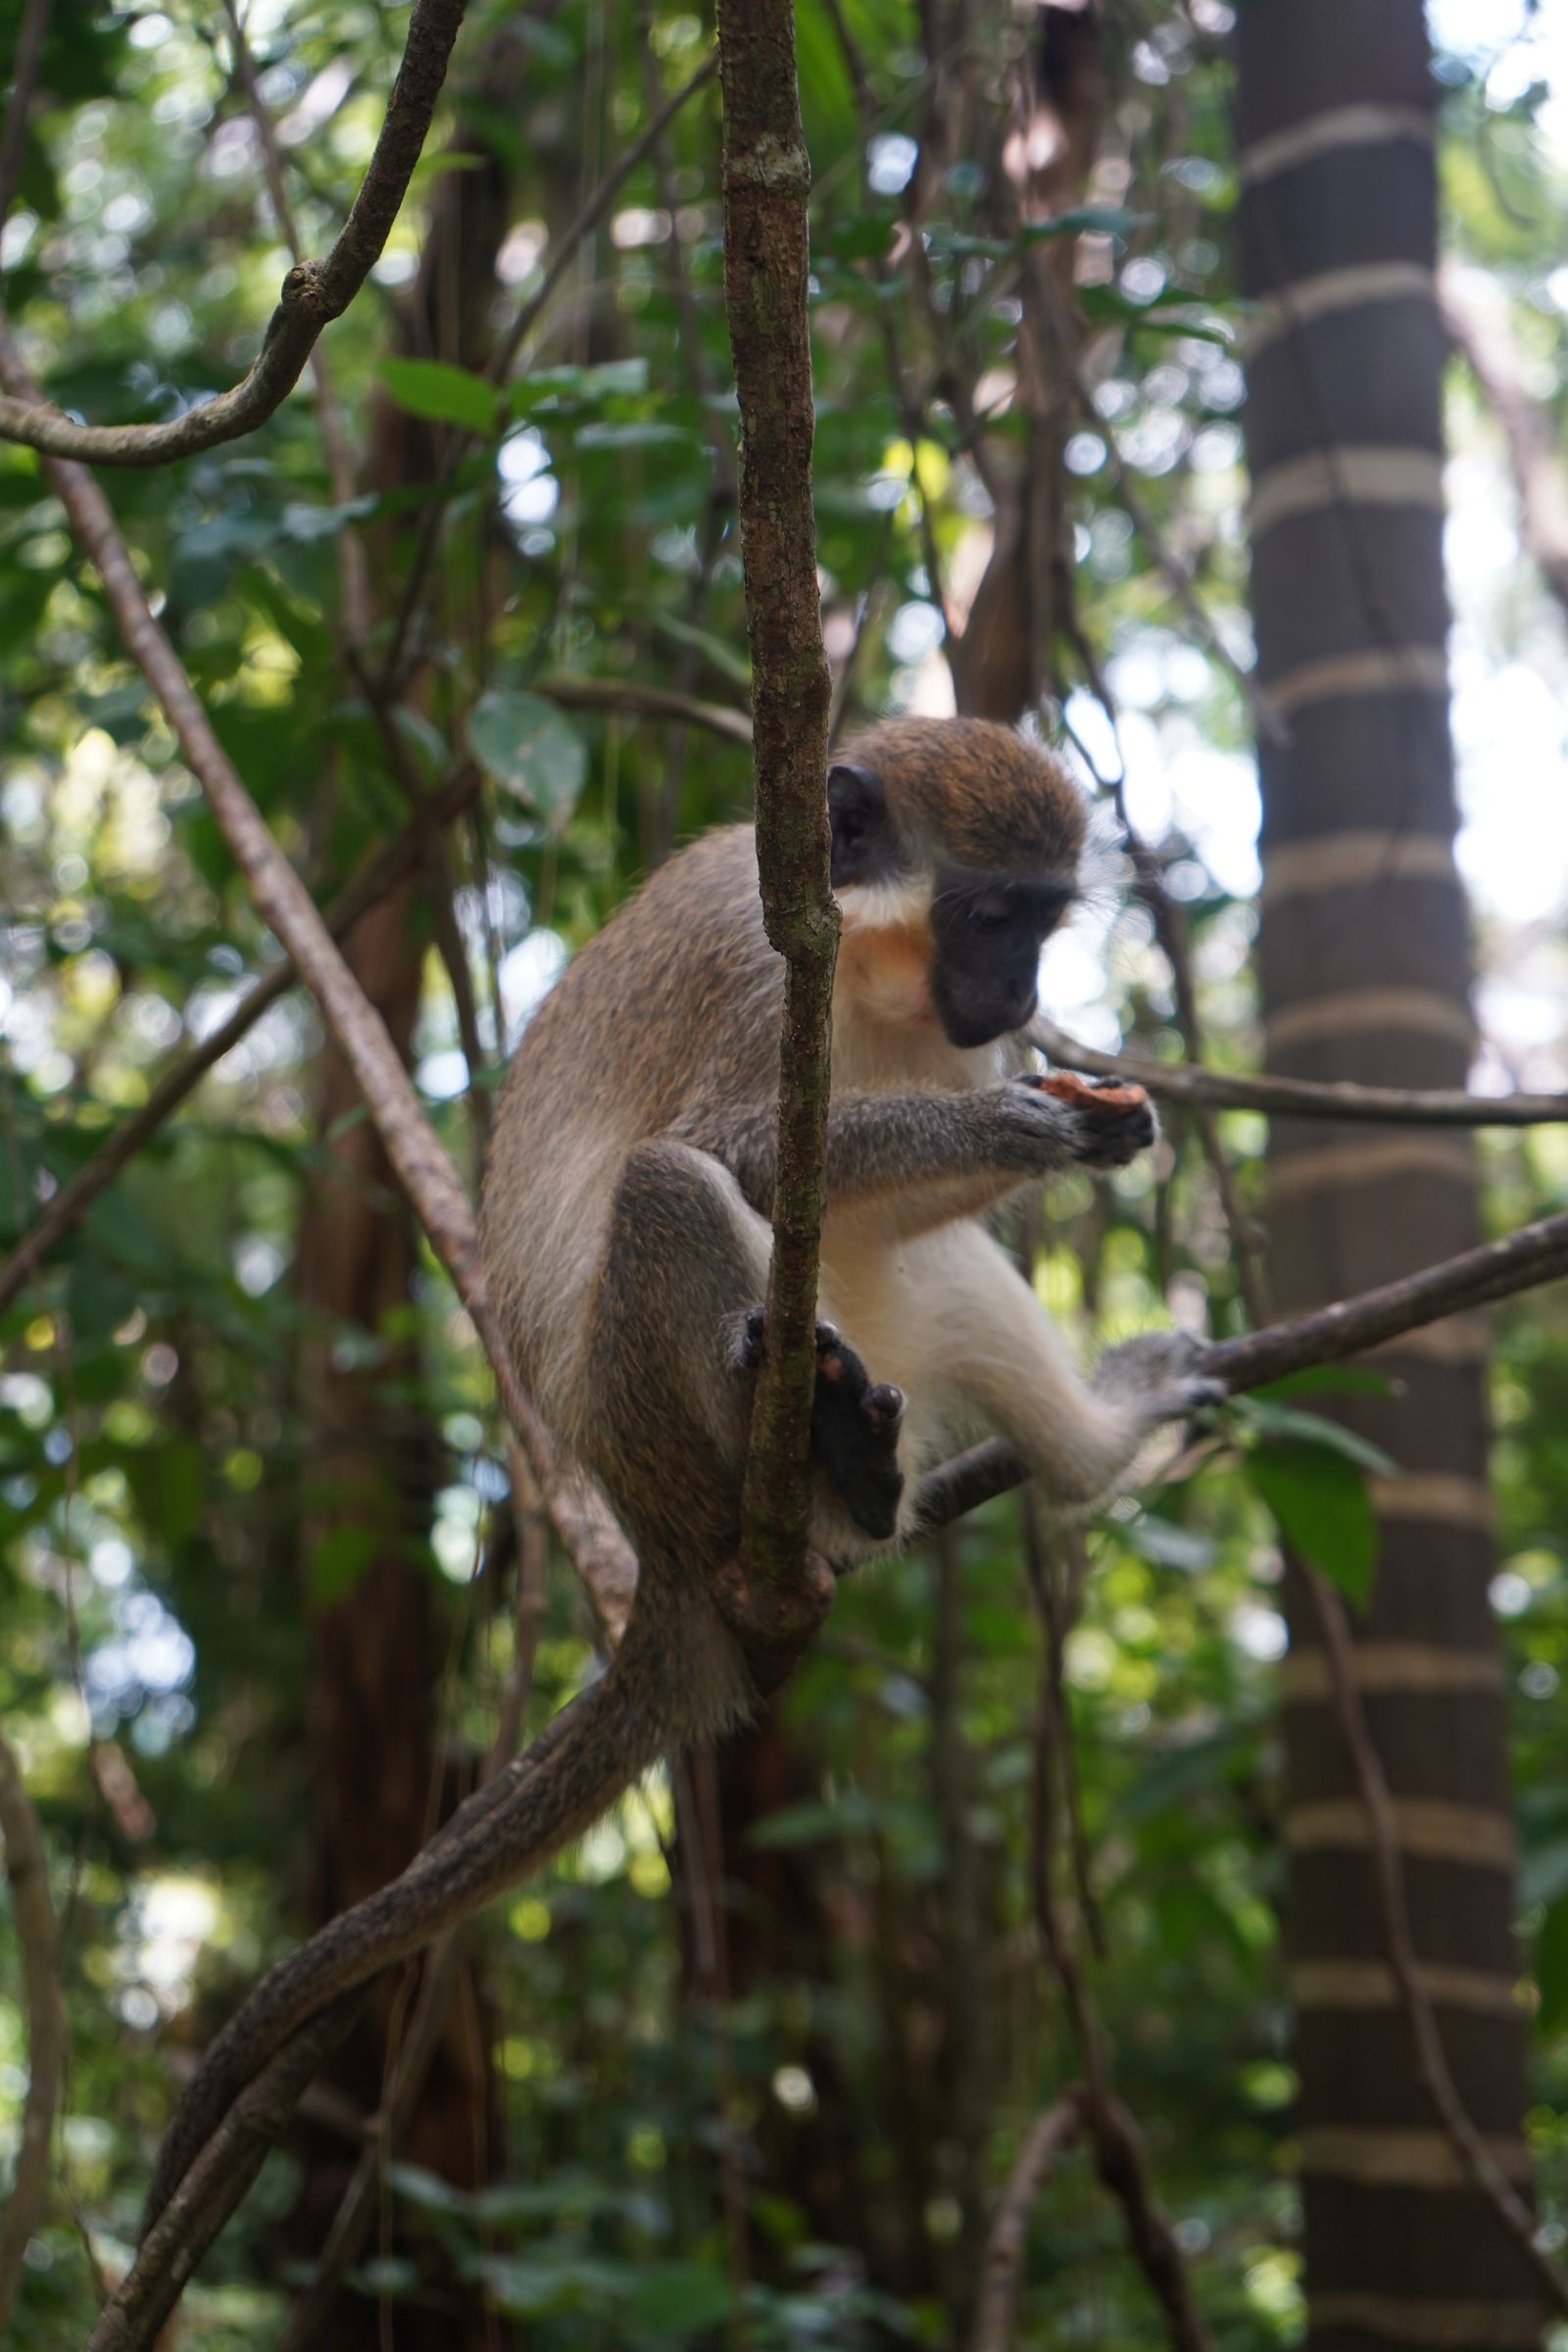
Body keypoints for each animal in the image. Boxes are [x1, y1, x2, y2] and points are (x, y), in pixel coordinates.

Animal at [141, 717, 1218, 2238]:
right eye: (991, 917)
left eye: (1044, 923)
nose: (1020, 995)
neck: (866, 962)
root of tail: (647, 1533)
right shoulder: (759, 968)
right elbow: (734, 1150)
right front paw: (1031, 1131)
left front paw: (1097, 1117)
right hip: (659, 1423)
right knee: (667, 1185)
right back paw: (826, 1473)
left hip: (863, 1345)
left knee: (929, 1270)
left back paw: (1048, 1453)